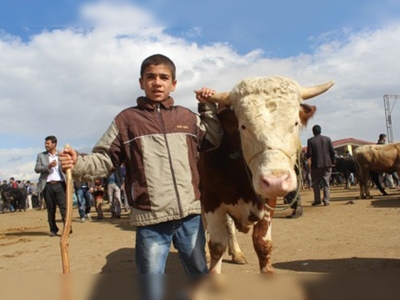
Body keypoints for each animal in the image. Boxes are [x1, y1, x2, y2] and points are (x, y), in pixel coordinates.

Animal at [200, 77, 334, 274]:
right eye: (243, 126)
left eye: (295, 123)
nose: (275, 181)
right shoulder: (211, 201)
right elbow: (217, 246)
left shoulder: (268, 203)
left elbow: (262, 244)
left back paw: (237, 253)